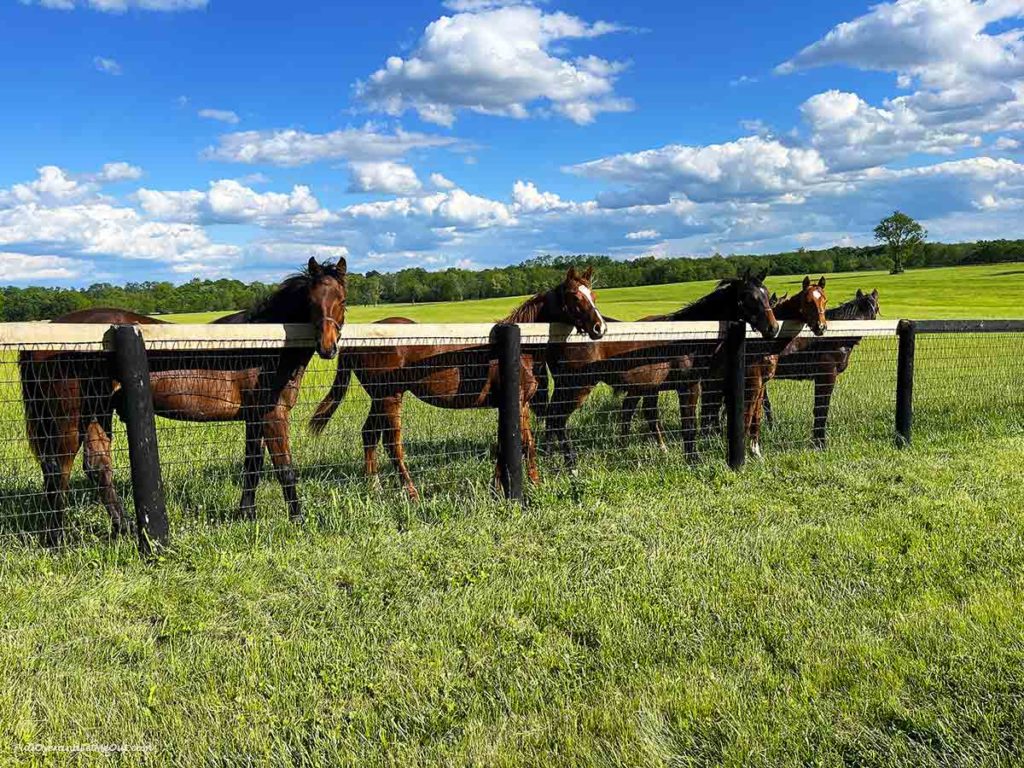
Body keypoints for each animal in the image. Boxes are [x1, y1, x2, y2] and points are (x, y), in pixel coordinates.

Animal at [18, 256, 348, 544]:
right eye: (311, 302)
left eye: (342, 300)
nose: (328, 347)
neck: (260, 345)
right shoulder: (273, 415)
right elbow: (285, 469)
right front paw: (298, 520)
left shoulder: (255, 417)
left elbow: (253, 465)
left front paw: (247, 514)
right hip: (69, 416)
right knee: (59, 469)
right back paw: (57, 539)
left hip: (96, 412)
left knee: (96, 467)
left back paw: (123, 528)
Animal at [307, 268, 602, 501]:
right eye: (575, 296)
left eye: (593, 296)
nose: (600, 327)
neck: (520, 347)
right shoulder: (516, 402)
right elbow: (519, 444)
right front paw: (522, 486)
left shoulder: (518, 404)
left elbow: (514, 443)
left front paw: (507, 487)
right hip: (390, 397)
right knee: (392, 444)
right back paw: (411, 492)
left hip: (380, 399)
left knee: (369, 434)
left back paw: (375, 488)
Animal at [532, 276, 778, 468]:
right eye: (749, 297)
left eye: (766, 295)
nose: (773, 328)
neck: (687, 336)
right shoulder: (689, 387)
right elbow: (689, 425)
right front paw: (693, 460)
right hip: (576, 387)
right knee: (556, 418)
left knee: (551, 418)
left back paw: (550, 458)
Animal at [761, 288, 880, 444]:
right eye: (859, 307)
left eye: (875, 309)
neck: (833, 339)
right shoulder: (827, 375)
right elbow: (821, 408)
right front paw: (820, 442)